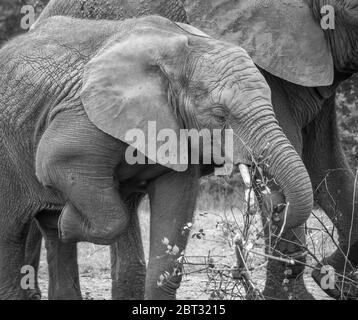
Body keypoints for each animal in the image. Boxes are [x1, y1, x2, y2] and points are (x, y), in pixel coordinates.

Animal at [0, 14, 314, 300]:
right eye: (220, 115)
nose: (278, 208)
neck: (184, 52)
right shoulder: (83, 111)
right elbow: (56, 160)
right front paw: (68, 220)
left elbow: (175, 208)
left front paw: (64, 219)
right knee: (9, 235)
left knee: (51, 238)